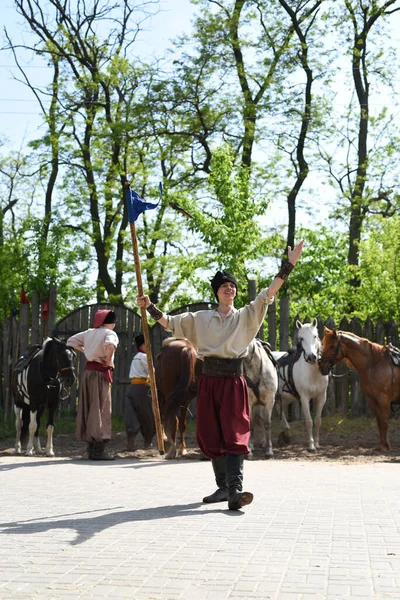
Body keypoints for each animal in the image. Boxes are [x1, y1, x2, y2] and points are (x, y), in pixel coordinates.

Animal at [274, 318, 330, 450]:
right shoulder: (304, 398)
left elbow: (318, 421)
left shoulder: (321, 397)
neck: (313, 372)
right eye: (301, 338)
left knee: (279, 409)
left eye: (315, 336)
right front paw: (311, 445)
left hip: (285, 397)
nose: (311, 357)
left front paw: (317, 443)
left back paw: (286, 433)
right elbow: (309, 421)